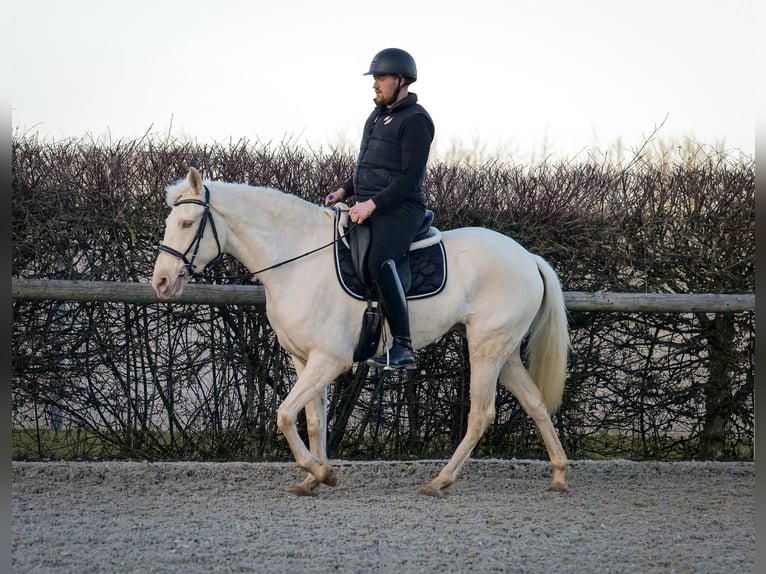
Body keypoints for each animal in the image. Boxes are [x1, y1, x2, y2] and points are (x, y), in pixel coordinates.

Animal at [153, 165, 568, 496]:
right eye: (169, 223)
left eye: (187, 224)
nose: (161, 281)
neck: (297, 262)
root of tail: (527, 257)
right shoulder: (303, 358)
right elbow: (314, 420)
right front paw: (313, 478)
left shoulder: (329, 360)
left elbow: (285, 414)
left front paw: (321, 472)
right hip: (503, 350)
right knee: (535, 403)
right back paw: (559, 474)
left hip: (486, 346)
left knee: (481, 413)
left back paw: (441, 481)